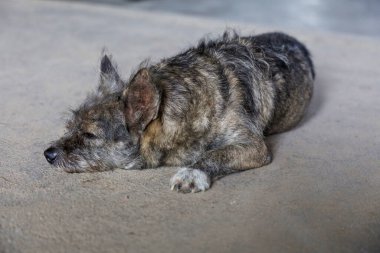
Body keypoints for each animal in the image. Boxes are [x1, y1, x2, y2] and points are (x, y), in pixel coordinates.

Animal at [43, 31, 314, 194]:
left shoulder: (253, 146)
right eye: (70, 127)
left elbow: (216, 153)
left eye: (90, 135)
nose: (48, 154)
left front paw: (193, 172)